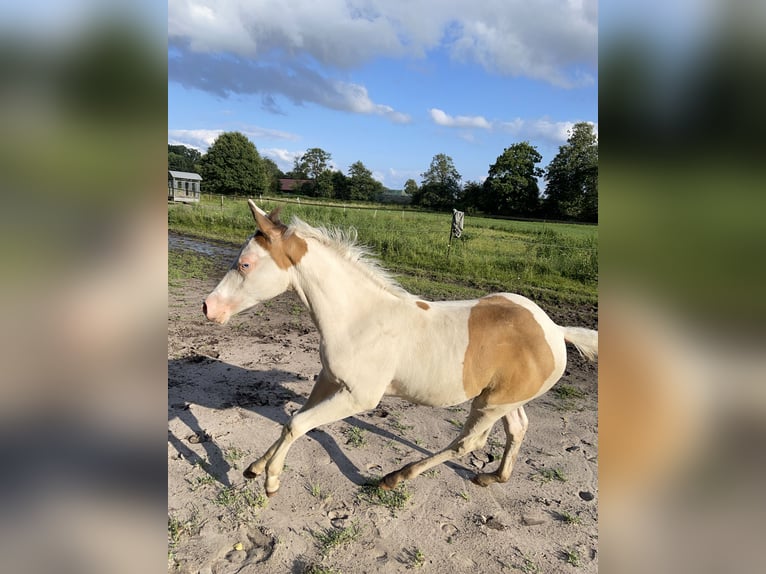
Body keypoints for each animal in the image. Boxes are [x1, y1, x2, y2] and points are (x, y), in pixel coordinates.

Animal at [204, 204, 600, 500]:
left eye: (245, 264)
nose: (208, 307)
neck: (358, 318)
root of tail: (555, 330)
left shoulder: (360, 397)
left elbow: (297, 423)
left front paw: (271, 480)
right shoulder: (329, 380)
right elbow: (294, 419)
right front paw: (256, 467)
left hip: (490, 404)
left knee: (469, 442)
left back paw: (394, 478)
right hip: (503, 399)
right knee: (517, 428)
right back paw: (492, 478)